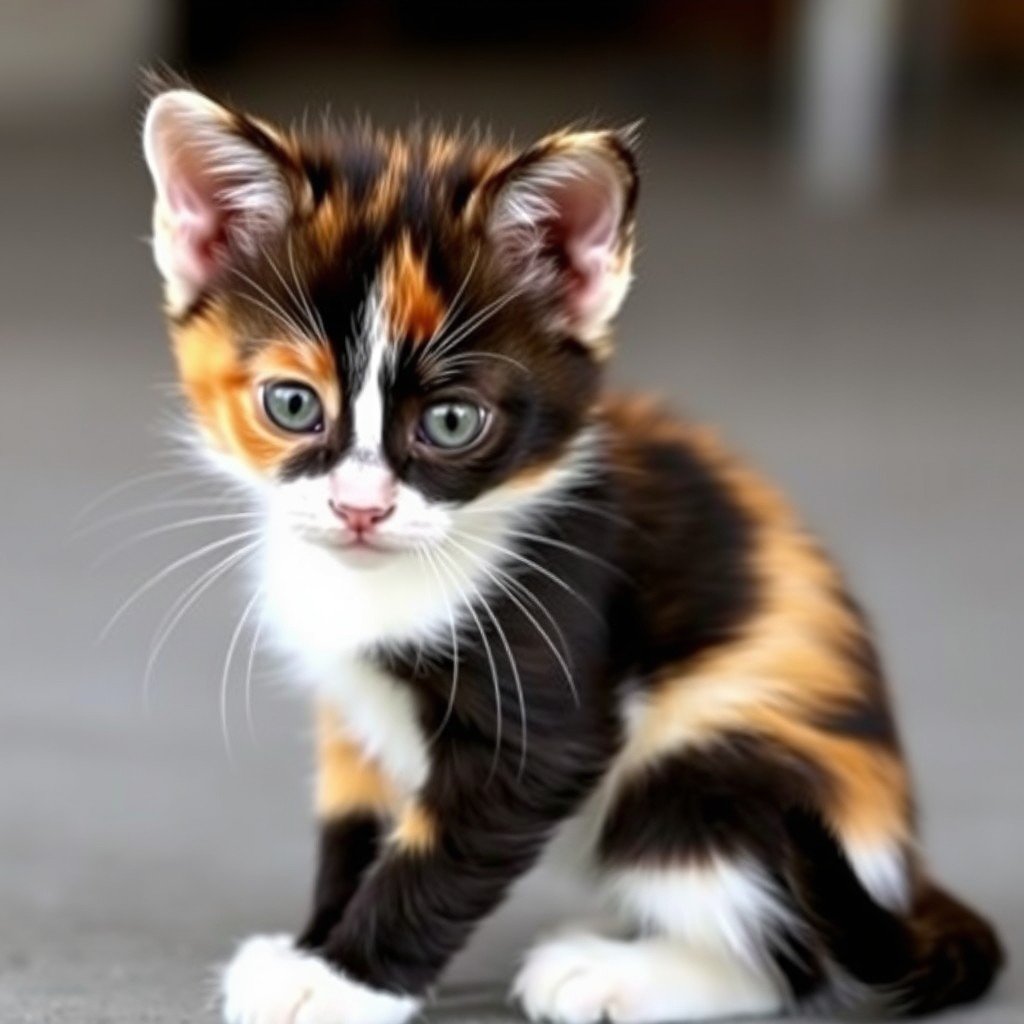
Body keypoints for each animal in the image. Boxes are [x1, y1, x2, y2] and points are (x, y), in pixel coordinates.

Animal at [140, 88, 1003, 1024]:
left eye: (452, 421)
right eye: (293, 404)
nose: (360, 508)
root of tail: (900, 874)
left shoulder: (551, 674)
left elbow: (438, 850)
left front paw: (343, 982)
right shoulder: (354, 707)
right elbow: (358, 826)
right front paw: (310, 946)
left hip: (715, 761)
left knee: (785, 953)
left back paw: (615, 972)